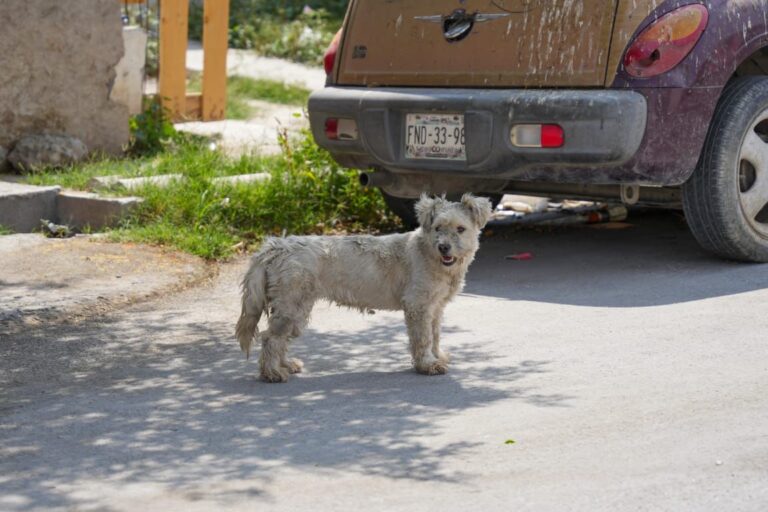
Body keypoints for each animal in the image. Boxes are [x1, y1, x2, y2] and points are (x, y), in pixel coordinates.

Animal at [234, 194, 492, 382]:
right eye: (438, 228)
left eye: (460, 229)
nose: (444, 247)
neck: (428, 253)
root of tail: (276, 247)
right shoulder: (418, 306)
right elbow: (423, 338)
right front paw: (427, 365)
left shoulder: (435, 308)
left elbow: (435, 335)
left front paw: (438, 357)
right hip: (291, 307)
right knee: (271, 338)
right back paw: (273, 373)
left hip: (296, 310)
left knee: (280, 339)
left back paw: (285, 365)